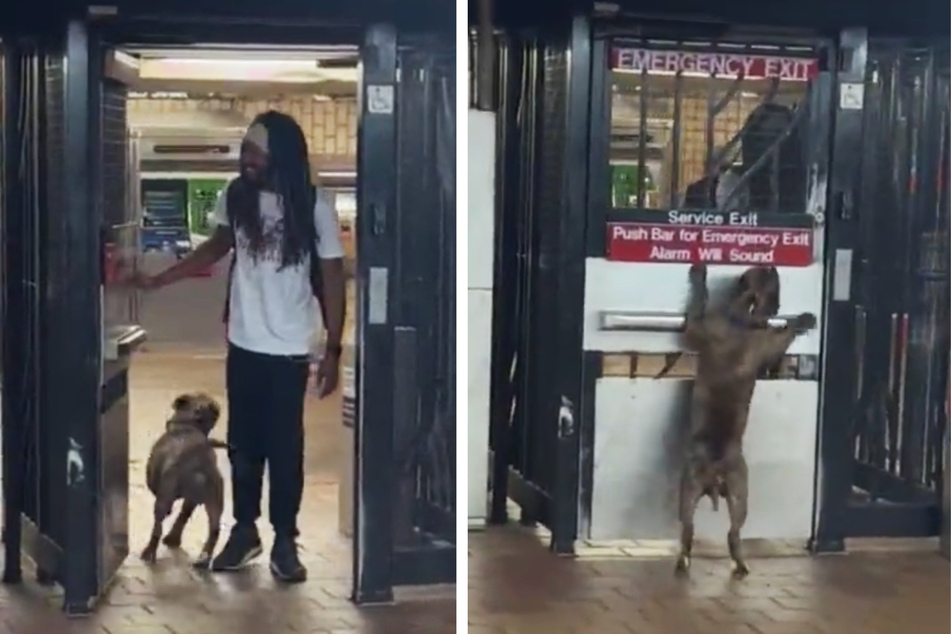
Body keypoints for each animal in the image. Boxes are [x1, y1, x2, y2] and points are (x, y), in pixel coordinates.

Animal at [676, 260, 820, 576]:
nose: (771, 263)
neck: (741, 316)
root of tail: (716, 469)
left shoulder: (700, 327)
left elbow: (698, 303)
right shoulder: (763, 341)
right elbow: (783, 334)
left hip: (698, 488)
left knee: (695, 529)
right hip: (726, 492)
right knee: (725, 531)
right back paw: (735, 565)